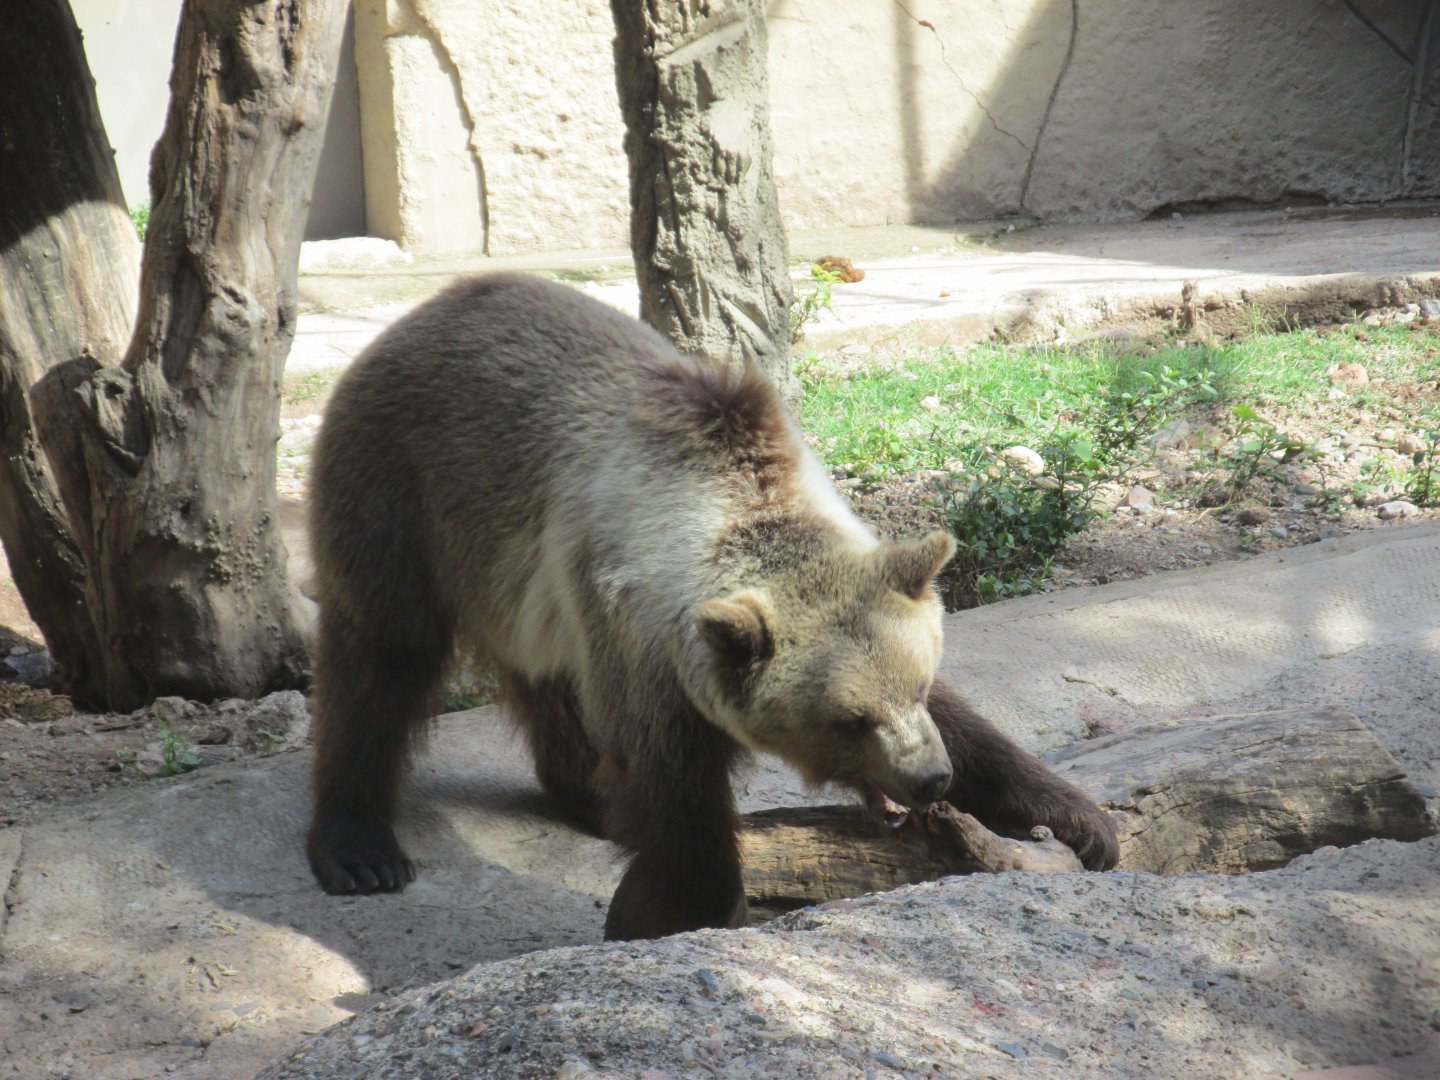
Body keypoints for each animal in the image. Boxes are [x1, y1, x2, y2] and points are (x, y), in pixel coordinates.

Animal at [305, 273, 1118, 940]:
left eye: (915, 684)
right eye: (848, 721)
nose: (928, 780)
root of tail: (423, 312)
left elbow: (972, 727)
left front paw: (1080, 822)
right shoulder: (642, 640)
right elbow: (675, 795)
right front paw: (686, 913)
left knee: (545, 680)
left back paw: (589, 798)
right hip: (402, 486)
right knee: (380, 657)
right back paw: (359, 847)